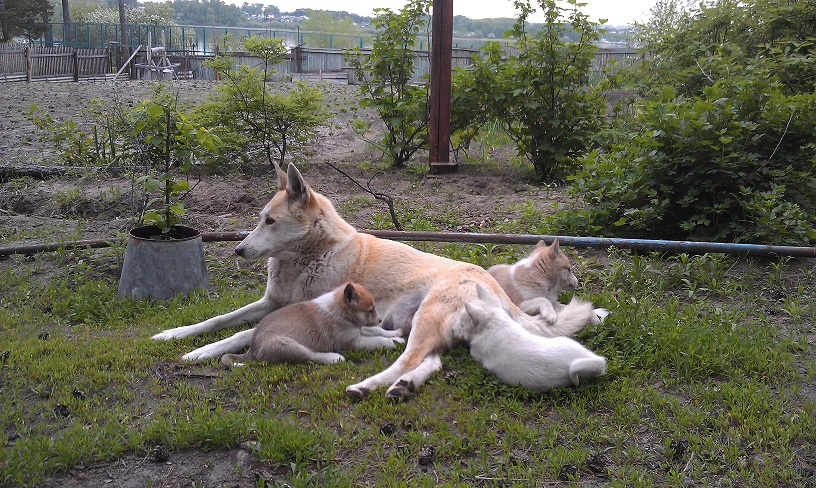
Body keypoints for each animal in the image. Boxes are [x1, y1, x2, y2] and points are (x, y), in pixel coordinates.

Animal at [220, 282, 403, 367]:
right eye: (370, 309)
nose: (380, 320)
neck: (338, 309)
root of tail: (252, 351)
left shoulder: (357, 330)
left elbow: (377, 332)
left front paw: (396, 335)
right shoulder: (352, 341)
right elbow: (377, 340)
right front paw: (392, 343)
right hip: (286, 344)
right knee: (311, 356)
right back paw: (333, 358)